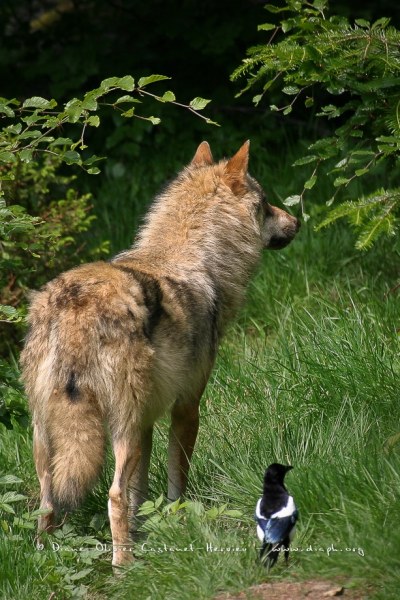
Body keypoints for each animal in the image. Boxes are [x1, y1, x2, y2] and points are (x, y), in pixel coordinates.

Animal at [19, 142, 300, 568]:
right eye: (267, 203)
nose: (297, 220)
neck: (198, 259)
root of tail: (76, 303)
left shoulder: (149, 421)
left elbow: (140, 495)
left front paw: (146, 529)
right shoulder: (186, 407)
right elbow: (173, 483)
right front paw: (177, 521)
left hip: (49, 436)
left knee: (48, 501)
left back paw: (44, 556)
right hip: (121, 428)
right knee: (113, 495)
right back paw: (123, 567)